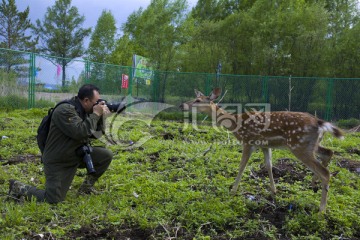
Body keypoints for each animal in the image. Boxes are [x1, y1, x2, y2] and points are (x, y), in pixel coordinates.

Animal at [181, 88, 344, 212]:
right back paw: (314, 184)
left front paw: (233, 190)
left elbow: (242, 166)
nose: (182, 105)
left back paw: (321, 210)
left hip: (299, 146)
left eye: (198, 100)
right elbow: (269, 165)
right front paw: (274, 192)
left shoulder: (248, 141)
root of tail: (320, 123)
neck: (234, 124)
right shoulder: (265, 145)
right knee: (329, 152)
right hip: (312, 144)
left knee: (325, 172)